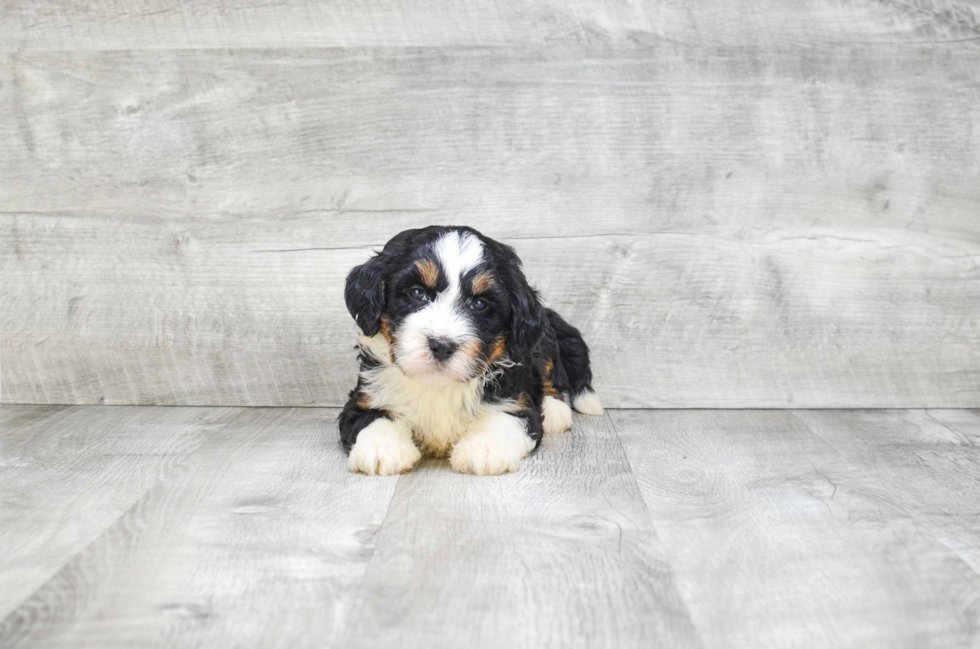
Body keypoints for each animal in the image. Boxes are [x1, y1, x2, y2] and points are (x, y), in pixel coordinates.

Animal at [340, 227, 600, 476]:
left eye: (479, 304)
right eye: (417, 293)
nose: (442, 345)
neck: (438, 386)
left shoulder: (516, 401)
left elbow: (504, 417)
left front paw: (483, 449)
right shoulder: (365, 397)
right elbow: (373, 417)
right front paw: (382, 448)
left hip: (542, 344)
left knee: (550, 375)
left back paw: (555, 411)